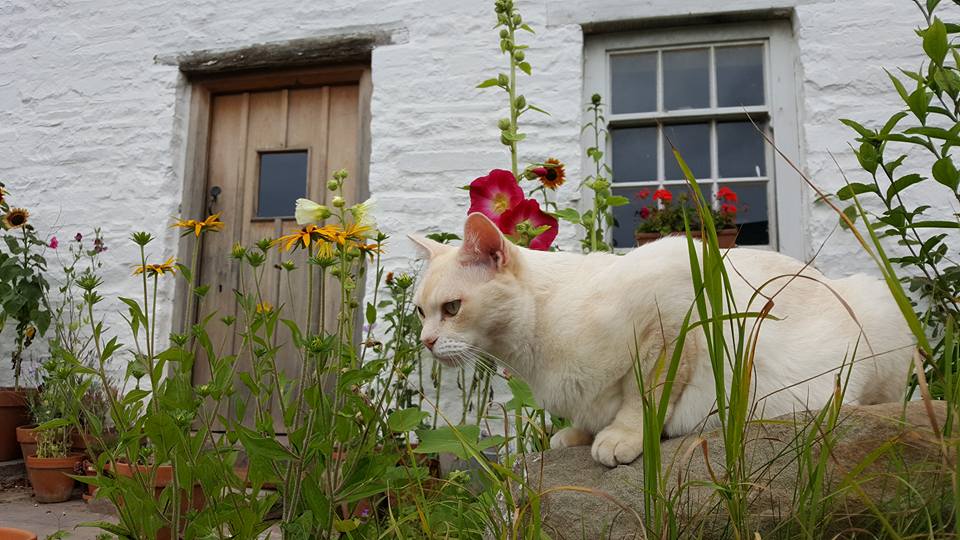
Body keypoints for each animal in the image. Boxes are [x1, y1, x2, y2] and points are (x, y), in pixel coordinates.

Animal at [406, 213, 916, 466]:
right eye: (419, 313)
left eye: (451, 309)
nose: (426, 342)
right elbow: (595, 411)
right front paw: (577, 435)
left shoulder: (673, 315)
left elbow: (644, 397)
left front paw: (619, 439)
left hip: (877, 310)